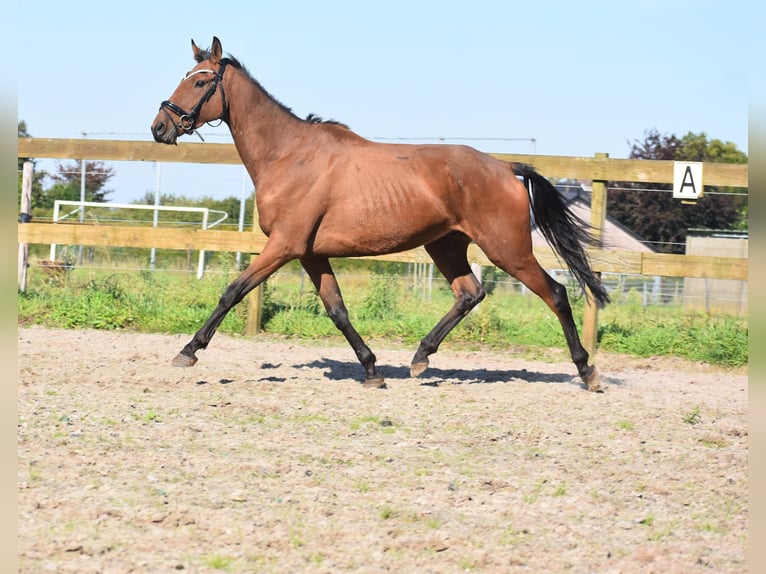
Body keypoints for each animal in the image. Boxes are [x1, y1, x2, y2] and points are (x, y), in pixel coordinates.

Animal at [152, 38, 612, 394]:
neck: (288, 155)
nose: (159, 127)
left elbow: (232, 291)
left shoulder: (283, 245)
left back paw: (587, 371)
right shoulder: (311, 254)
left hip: (507, 250)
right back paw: (420, 358)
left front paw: (188, 351)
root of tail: (504, 167)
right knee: (469, 293)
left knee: (556, 294)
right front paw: (372, 369)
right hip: (446, 245)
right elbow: (337, 310)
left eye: (200, 80)